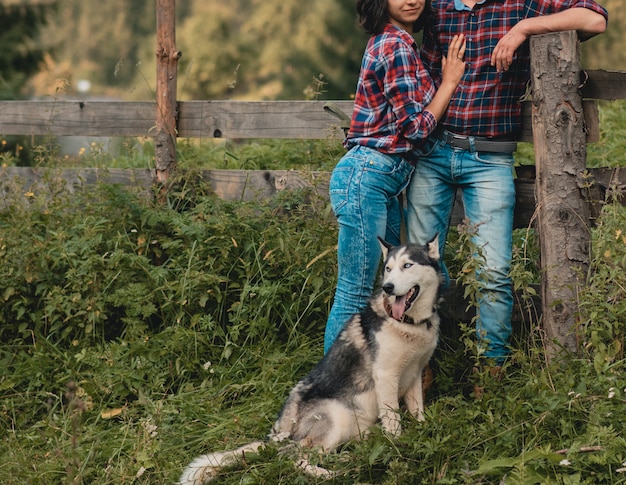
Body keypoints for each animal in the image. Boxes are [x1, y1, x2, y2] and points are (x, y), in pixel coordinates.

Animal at [179, 235, 444, 484]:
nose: (388, 287)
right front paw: (399, 448)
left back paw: (348, 459)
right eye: (388, 268)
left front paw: (423, 433)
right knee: (295, 458)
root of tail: (279, 431)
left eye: (407, 265)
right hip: (335, 418)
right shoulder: (386, 377)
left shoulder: (414, 373)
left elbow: (418, 412)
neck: (408, 323)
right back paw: (334, 474)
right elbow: (393, 421)